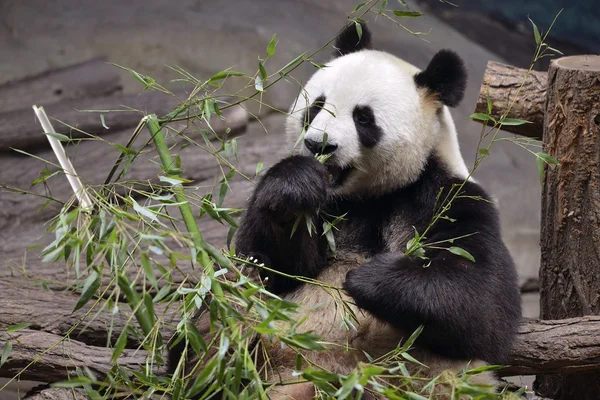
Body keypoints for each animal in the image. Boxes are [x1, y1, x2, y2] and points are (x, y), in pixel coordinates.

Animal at [172, 22, 520, 400]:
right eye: (318, 105)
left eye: (363, 118)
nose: (318, 145)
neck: (366, 196)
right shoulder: (328, 209)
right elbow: (276, 267)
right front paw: (294, 185)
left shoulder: (445, 198)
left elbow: (482, 304)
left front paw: (365, 278)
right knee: (223, 313)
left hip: (413, 379)